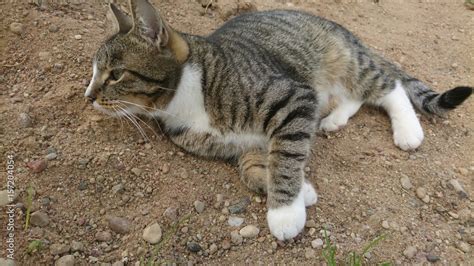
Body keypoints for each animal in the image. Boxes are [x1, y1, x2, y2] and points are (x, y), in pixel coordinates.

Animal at [84, 0, 470, 240]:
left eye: (115, 74)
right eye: (93, 72)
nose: (88, 96)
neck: (186, 96)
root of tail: (338, 27)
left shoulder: (293, 99)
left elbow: (286, 155)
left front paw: (285, 212)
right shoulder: (239, 143)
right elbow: (257, 166)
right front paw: (300, 192)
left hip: (344, 62)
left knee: (389, 86)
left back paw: (407, 130)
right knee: (355, 97)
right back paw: (334, 119)